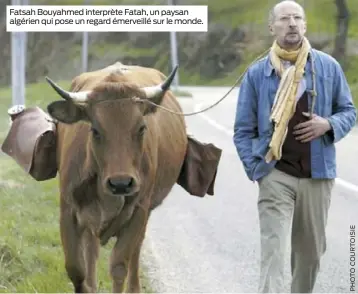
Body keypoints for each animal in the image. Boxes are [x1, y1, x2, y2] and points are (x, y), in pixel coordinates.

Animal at [45, 61, 196, 292]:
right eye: (95, 130)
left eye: (141, 128)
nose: (121, 183)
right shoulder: (68, 211)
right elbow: (76, 270)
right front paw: (87, 285)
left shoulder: (139, 211)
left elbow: (118, 266)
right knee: (92, 251)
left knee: (135, 252)